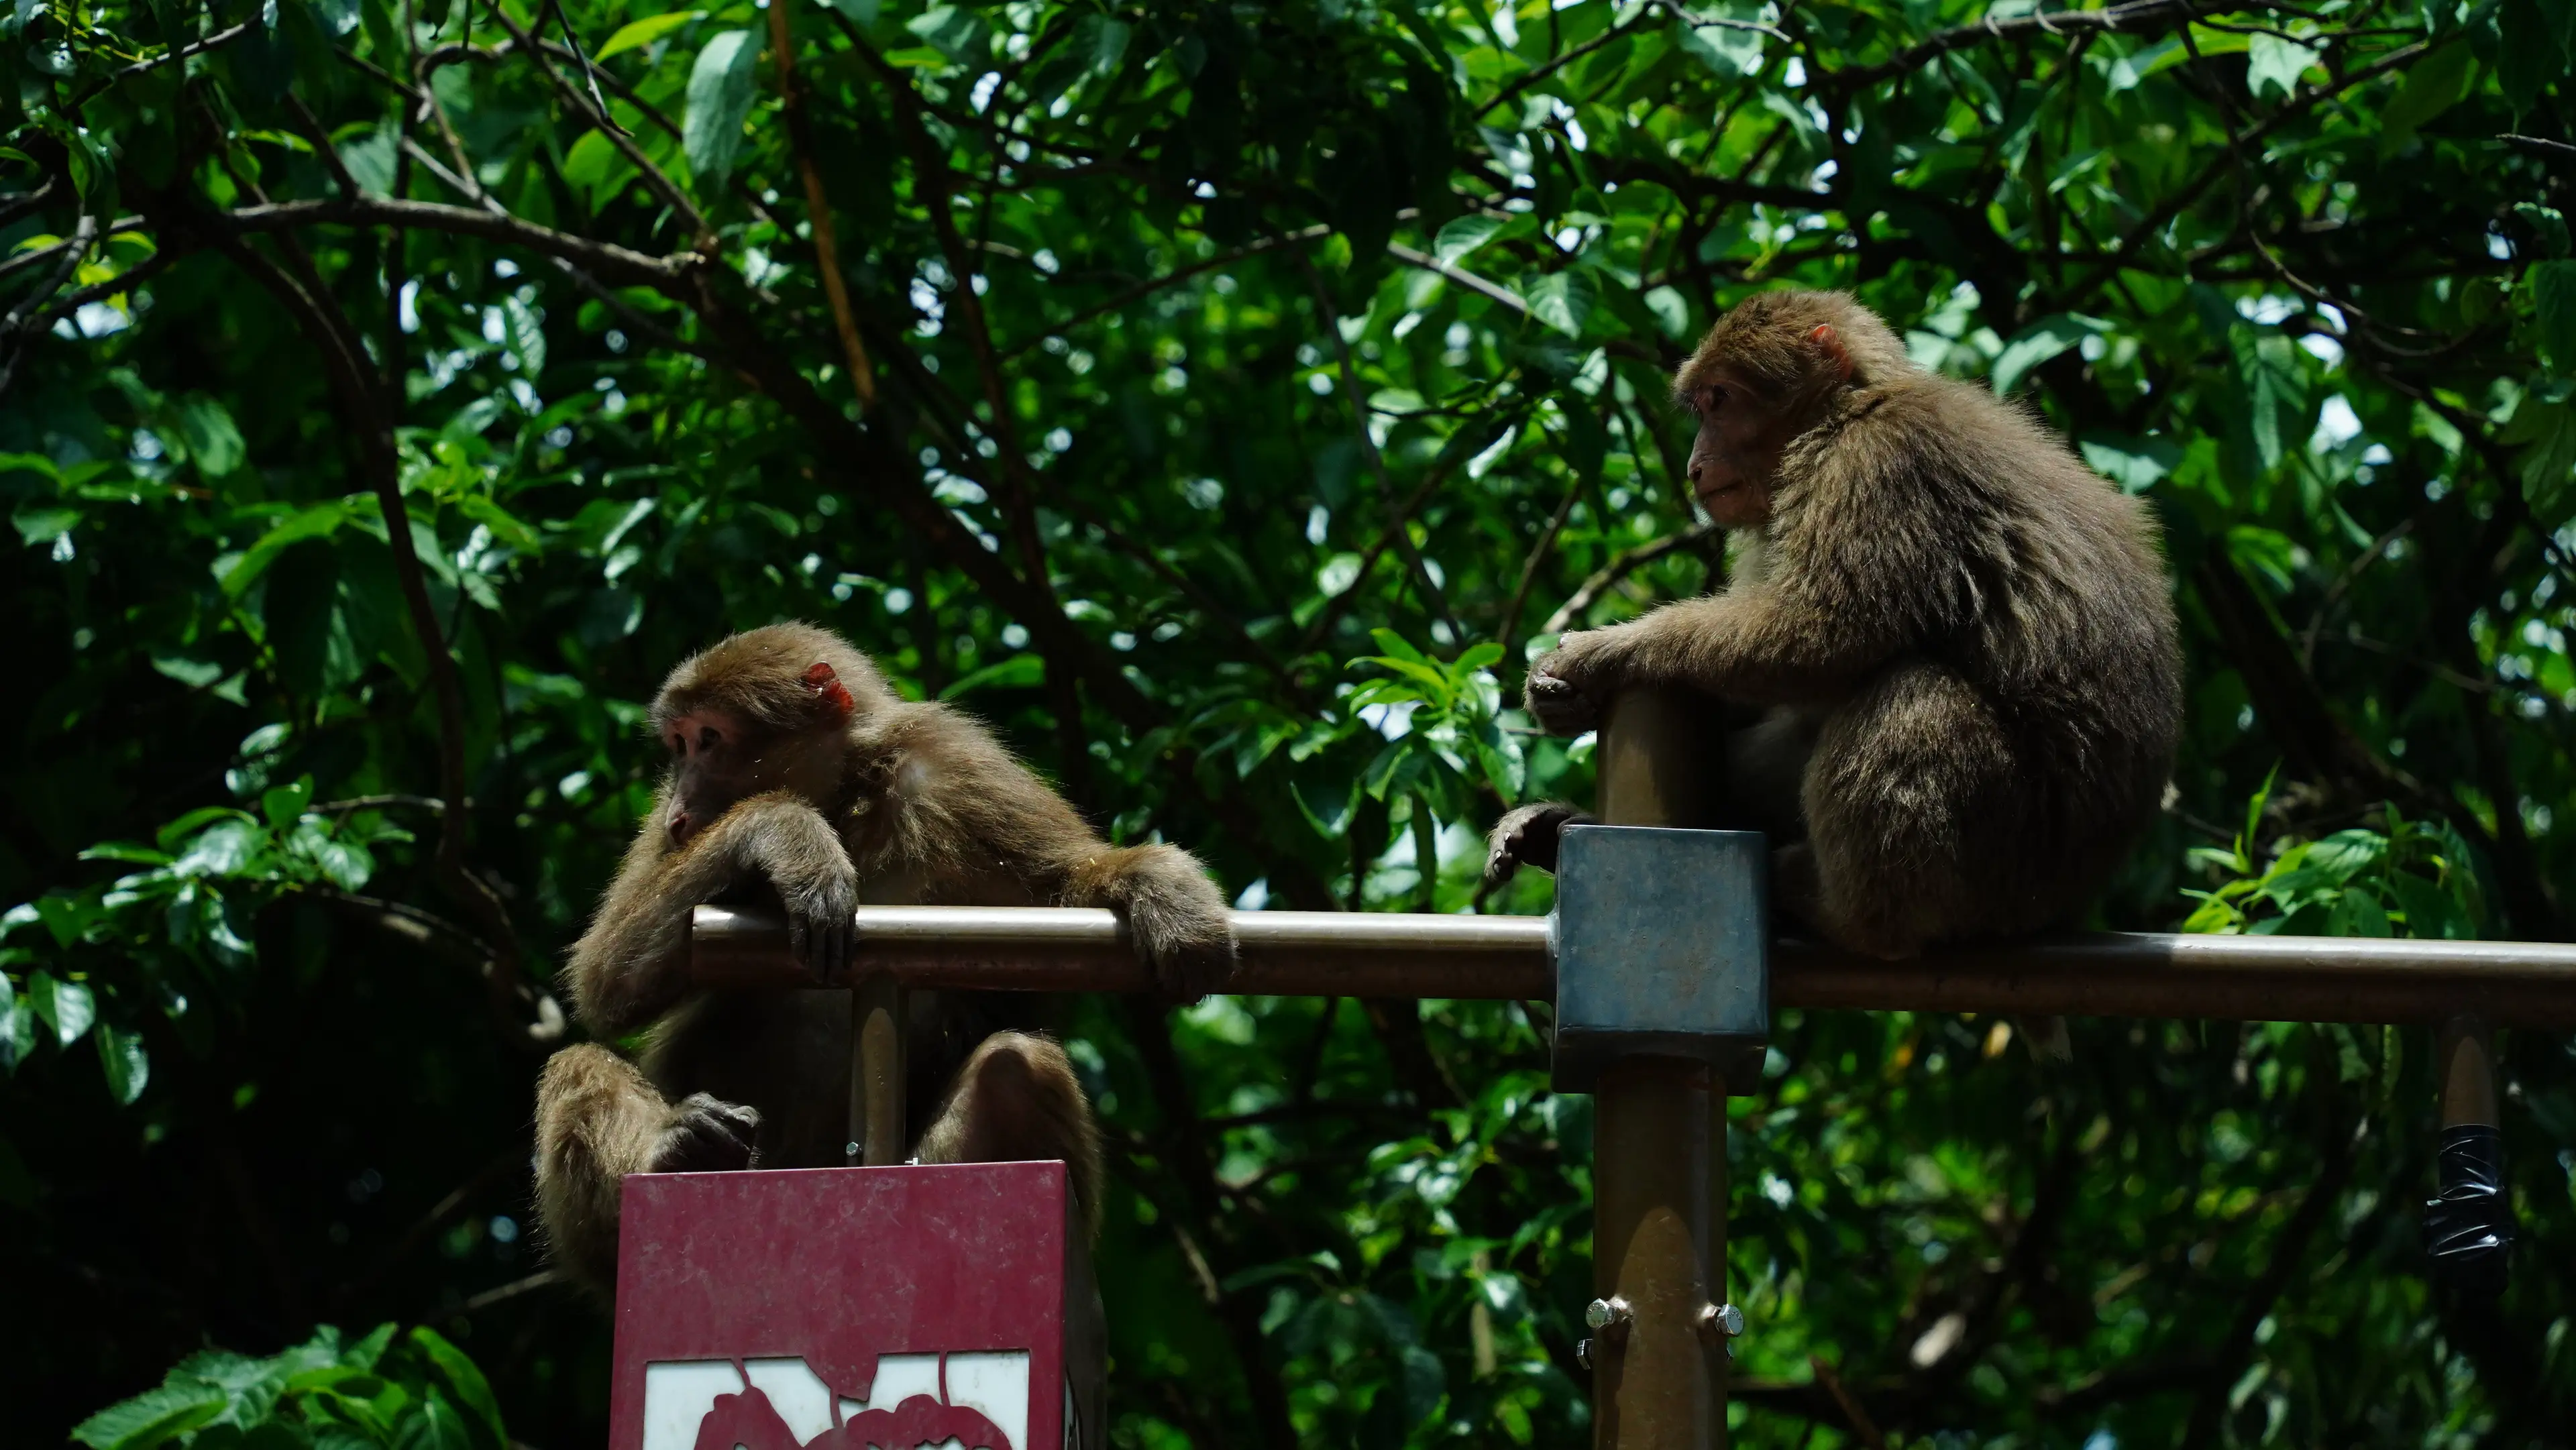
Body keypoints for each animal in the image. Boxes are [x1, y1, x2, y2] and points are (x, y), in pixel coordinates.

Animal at [533, 622, 1236, 1292]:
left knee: (1015, 1068)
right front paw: (783, 829)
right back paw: (676, 1150)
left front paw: (1154, 885)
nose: (680, 808)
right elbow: (604, 979)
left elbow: (1071, 883)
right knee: (579, 1063)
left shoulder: (950, 759)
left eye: (708, 739)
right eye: (677, 746)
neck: (849, 800)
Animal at [1488, 290, 2181, 962]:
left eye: (1722, 401)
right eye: (1702, 406)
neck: (1841, 416)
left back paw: (1847, 916)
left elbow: (1825, 634)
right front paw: (1562, 704)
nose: (1694, 464)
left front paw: (1603, 654)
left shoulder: (1881, 462)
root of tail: (2073, 899)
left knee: (1914, 693)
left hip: (2007, 869)